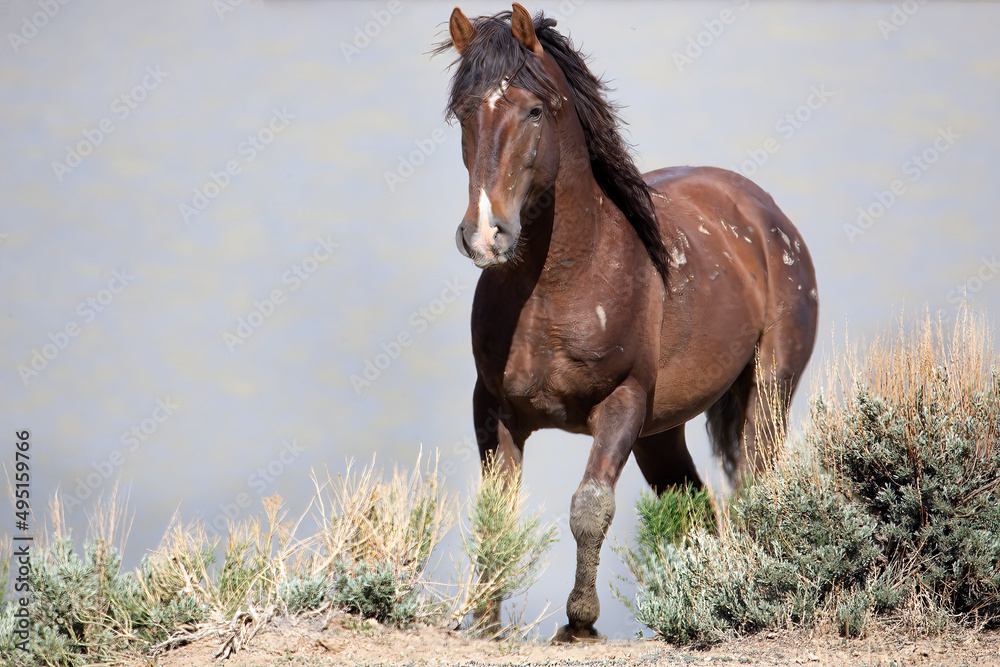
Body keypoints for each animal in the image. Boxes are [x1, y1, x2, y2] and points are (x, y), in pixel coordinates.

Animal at [437, 4, 819, 642]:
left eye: (534, 110)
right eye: (464, 112)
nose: (486, 235)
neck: (556, 287)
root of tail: (766, 216)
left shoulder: (622, 403)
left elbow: (590, 508)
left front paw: (579, 624)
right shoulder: (492, 407)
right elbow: (496, 513)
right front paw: (486, 622)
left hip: (768, 392)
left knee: (756, 487)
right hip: (661, 434)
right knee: (696, 508)